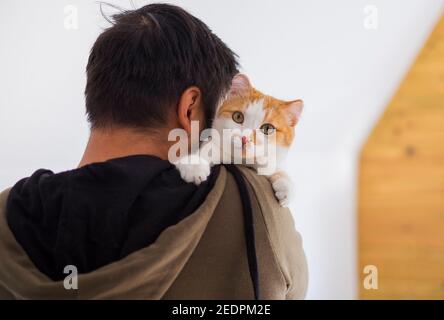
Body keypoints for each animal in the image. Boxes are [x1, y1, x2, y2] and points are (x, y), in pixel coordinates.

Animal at [175, 73, 304, 206]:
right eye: (238, 117)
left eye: (267, 128)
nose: (244, 138)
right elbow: (207, 151)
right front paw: (194, 166)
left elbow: (277, 170)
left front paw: (286, 186)